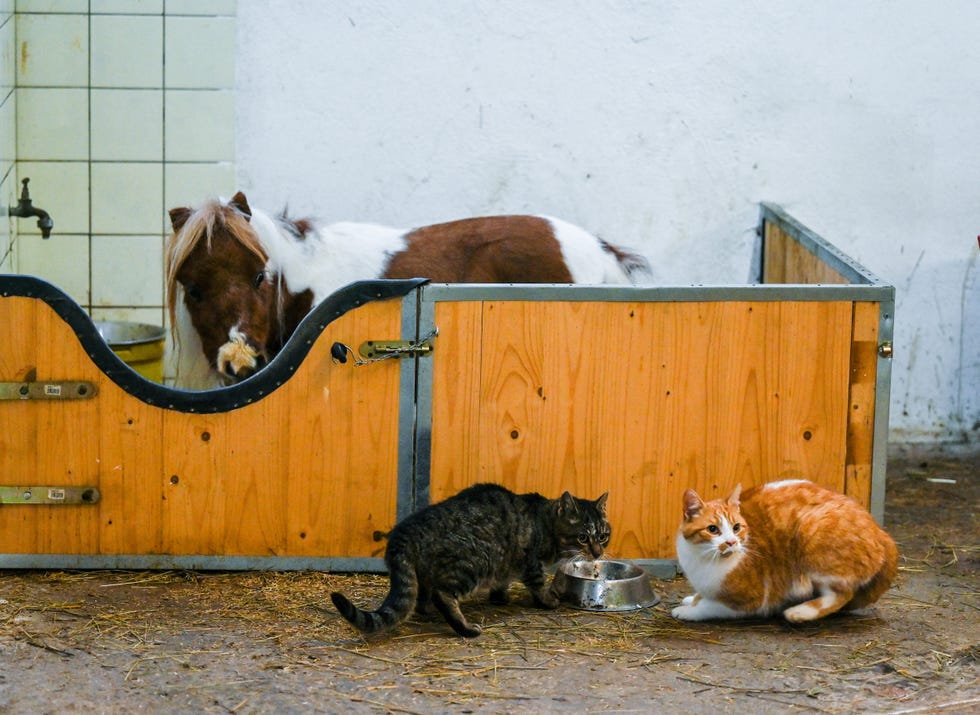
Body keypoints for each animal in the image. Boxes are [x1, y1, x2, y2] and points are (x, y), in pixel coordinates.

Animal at [334, 484, 608, 640]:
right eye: (583, 537)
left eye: (603, 536)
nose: (597, 553)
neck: (546, 523)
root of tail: (404, 531)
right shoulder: (531, 562)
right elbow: (539, 583)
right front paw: (548, 601)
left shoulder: (505, 565)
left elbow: (502, 582)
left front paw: (500, 597)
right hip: (475, 562)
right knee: (443, 595)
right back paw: (465, 627)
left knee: (422, 596)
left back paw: (426, 608)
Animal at [672, 478, 896, 624]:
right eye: (712, 529)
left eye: (736, 527)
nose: (731, 542)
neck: (703, 559)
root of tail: (882, 533)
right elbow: (701, 597)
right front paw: (693, 599)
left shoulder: (750, 601)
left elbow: (708, 606)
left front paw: (687, 611)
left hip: (812, 534)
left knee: (842, 595)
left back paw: (800, 613)